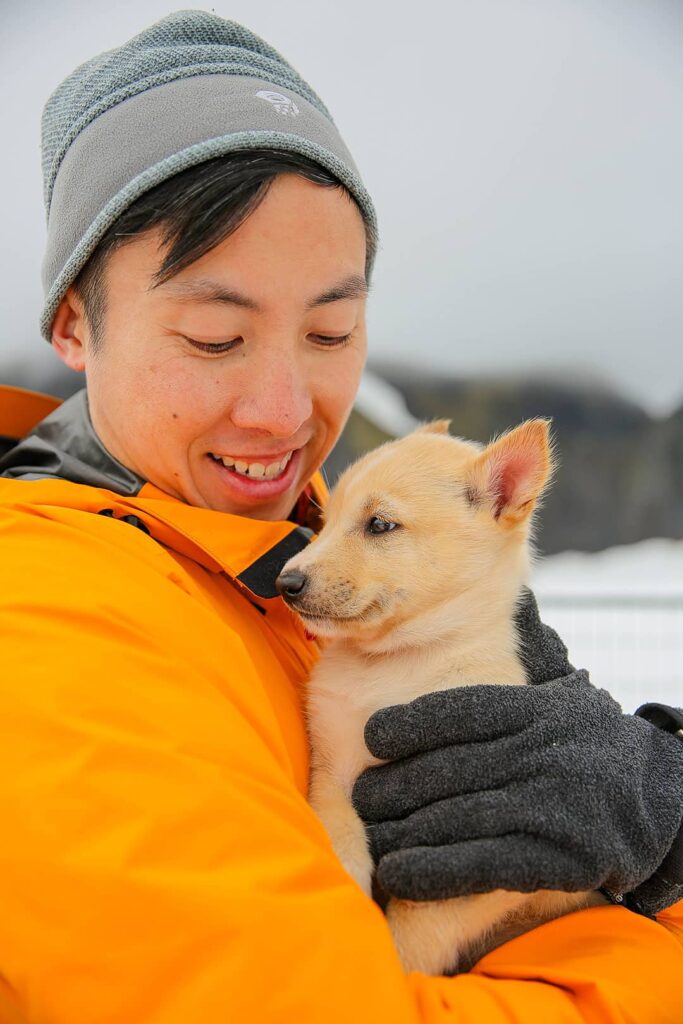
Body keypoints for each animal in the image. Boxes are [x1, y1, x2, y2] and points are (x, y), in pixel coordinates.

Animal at [274, 417, 593, 974]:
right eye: (325, 522)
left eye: (380, 525)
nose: (285, 582)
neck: (394, 661)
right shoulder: (330, 769)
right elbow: (339, 830)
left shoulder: (486, 852)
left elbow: (417, 930)